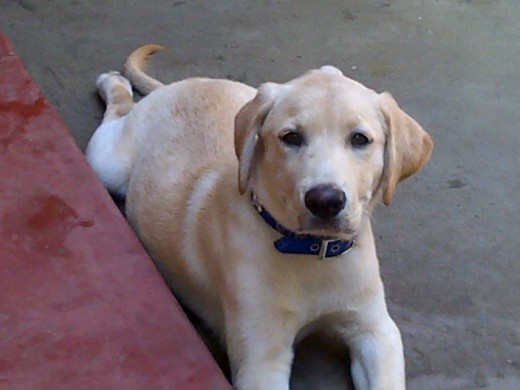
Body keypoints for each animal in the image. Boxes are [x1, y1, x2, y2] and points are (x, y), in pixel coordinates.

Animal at [86, 44, 434, 388]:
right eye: (291, 137)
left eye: (360, 139)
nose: (325, 201)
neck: (311, 254)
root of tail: (182, 85)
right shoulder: (261, 360)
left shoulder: (376, 329)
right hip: (107, 163)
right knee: (117, 113)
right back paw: (112, 82)